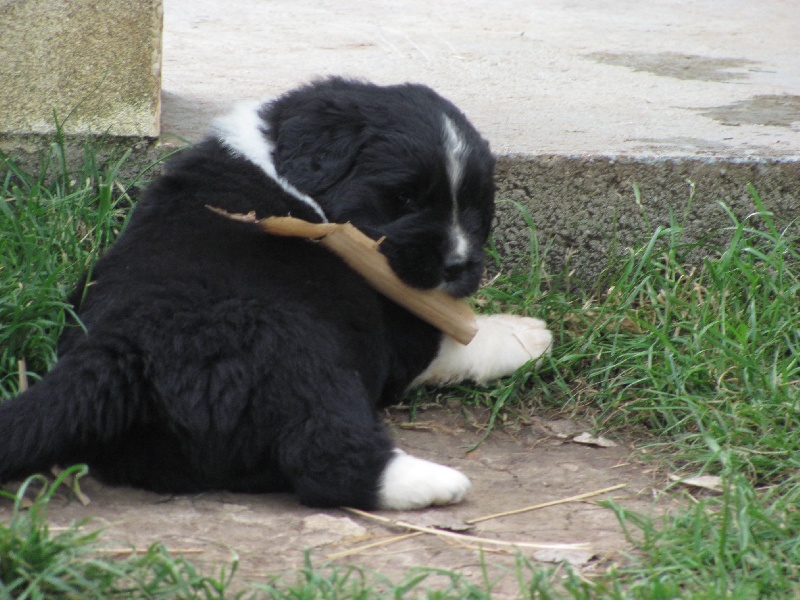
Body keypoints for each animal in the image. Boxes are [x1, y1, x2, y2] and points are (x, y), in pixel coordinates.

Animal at [0, 78, 552, 510]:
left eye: (477, 210)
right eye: (407, 199)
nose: (458, 265)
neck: (286, 166)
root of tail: (116, 355)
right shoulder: (397, 324)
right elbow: (457, 338)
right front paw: (528, 335)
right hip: (293, 350)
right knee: (326, 458)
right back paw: (435, 482)